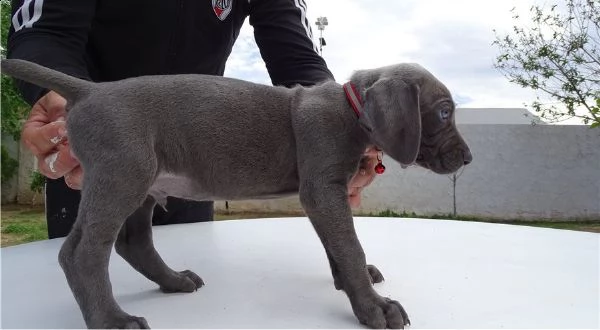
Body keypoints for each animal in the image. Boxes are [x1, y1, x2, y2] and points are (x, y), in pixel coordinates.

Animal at [1, 58, 474, 328]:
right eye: (443, 112)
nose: (468, 158)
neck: (350, 108)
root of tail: (91, 90)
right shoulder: (323, 189)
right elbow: (349, 246)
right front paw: (376, 307)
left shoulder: (324, 193)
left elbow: (337, 245)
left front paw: (348, 284)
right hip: (122, 174)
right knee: (82, 253)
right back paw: (112, 320)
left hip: (142, 180)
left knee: (132, 242)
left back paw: (174, 282)